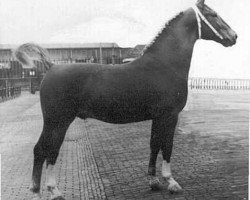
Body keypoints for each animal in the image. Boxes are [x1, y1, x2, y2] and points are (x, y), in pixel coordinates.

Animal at [14, 0, 237, 199]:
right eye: (213, 15)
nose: (234, 36)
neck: (165, 64)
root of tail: (51, 66)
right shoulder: (170, 116)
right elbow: (167, 146)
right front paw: (171, 182)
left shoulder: (157, 117)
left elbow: (154, 144)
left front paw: (153, 181)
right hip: (58, 121)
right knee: (48, 150)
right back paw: (54, 191)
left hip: (54, 122)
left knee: (40, 150)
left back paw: (36, 190)